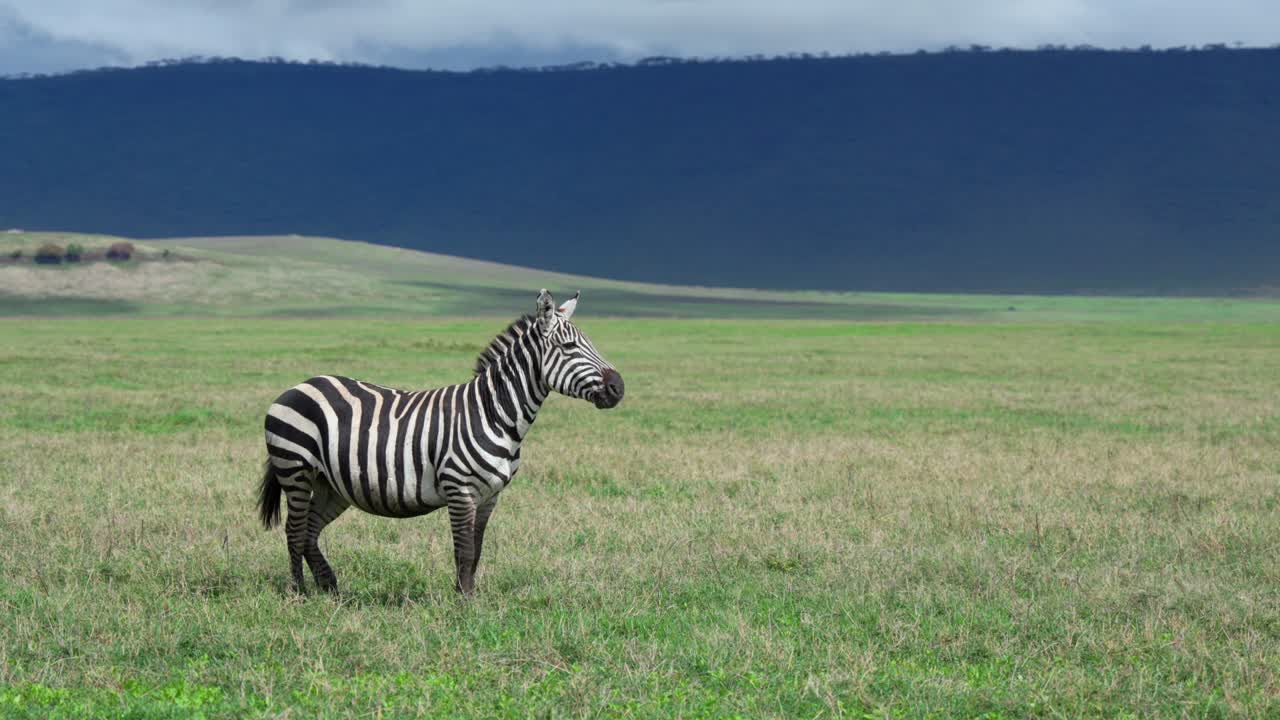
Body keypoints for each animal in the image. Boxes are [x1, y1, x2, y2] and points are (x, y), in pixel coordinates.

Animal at [256, 289, 625, 596]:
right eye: (569, 348)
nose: (618, 388)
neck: (493, 412)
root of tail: (299, 385)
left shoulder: (490, 496)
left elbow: (476, 549)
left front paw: (470, 596)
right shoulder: (460, 489)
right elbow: (463, 550)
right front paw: (464, 603)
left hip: (332, 484)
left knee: (309, 530)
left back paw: (330, 587)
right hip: (296, 469)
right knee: (294, 530)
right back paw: (299, 592)